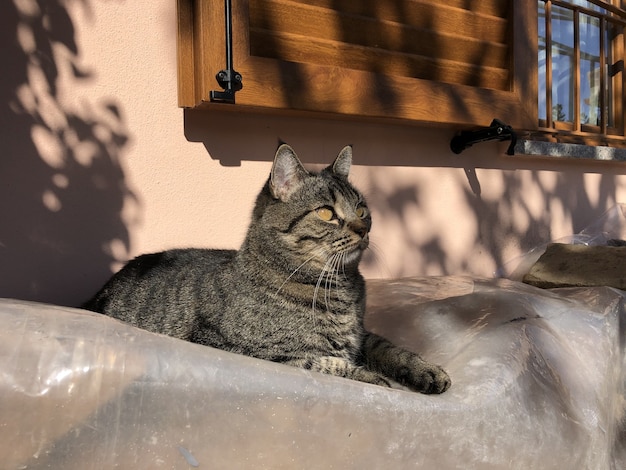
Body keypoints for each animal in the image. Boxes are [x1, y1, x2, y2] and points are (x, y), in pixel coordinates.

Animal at [85, 145, 450, 394]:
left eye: (361, 209)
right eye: (327, 213)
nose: (363, 229)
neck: (338, 285)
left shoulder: (361, 336)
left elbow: (388, 346)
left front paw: (426, 370)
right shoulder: (243, 351)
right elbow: (325, 363)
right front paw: (373, 379)